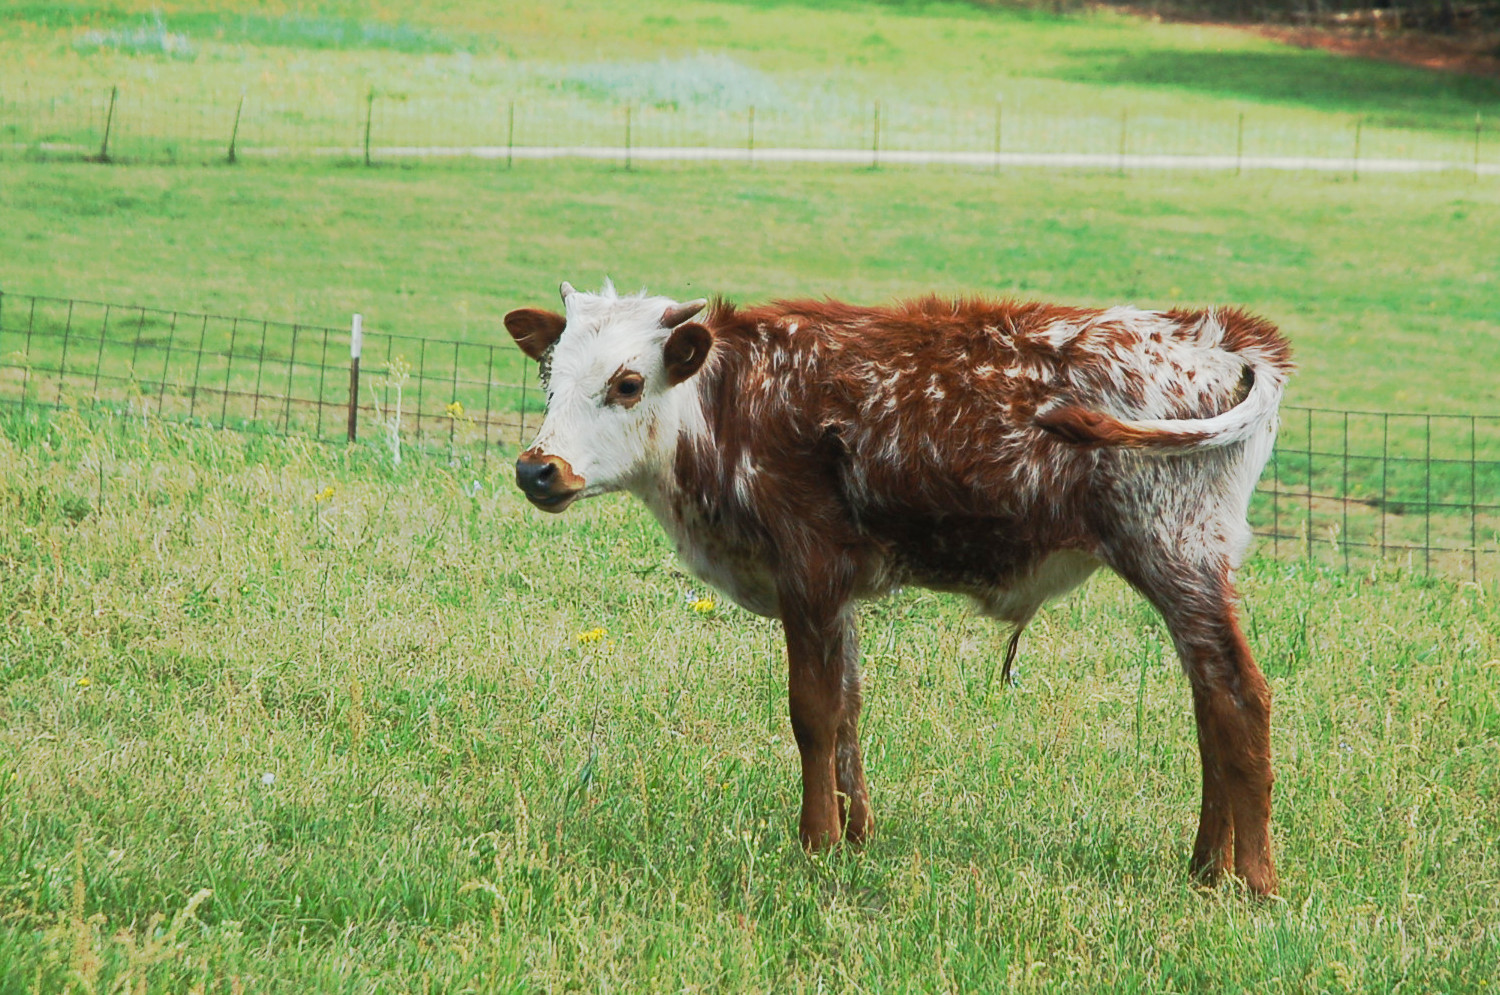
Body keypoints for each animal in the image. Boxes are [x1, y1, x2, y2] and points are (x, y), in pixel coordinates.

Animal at [505, 280, 1293, 895]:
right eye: (549, 377)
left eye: (627, 383)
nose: (537, 470)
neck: (727, 405)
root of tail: (1224, 336)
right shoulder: (836, 594)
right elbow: (848, 707)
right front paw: (855, 835)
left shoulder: (809, 572)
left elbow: (814, 713)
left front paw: (816, 844)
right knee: (1210, 702)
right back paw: (1205, 867)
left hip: (1177, 552)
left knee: (1240, 696)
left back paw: (1253, 880)